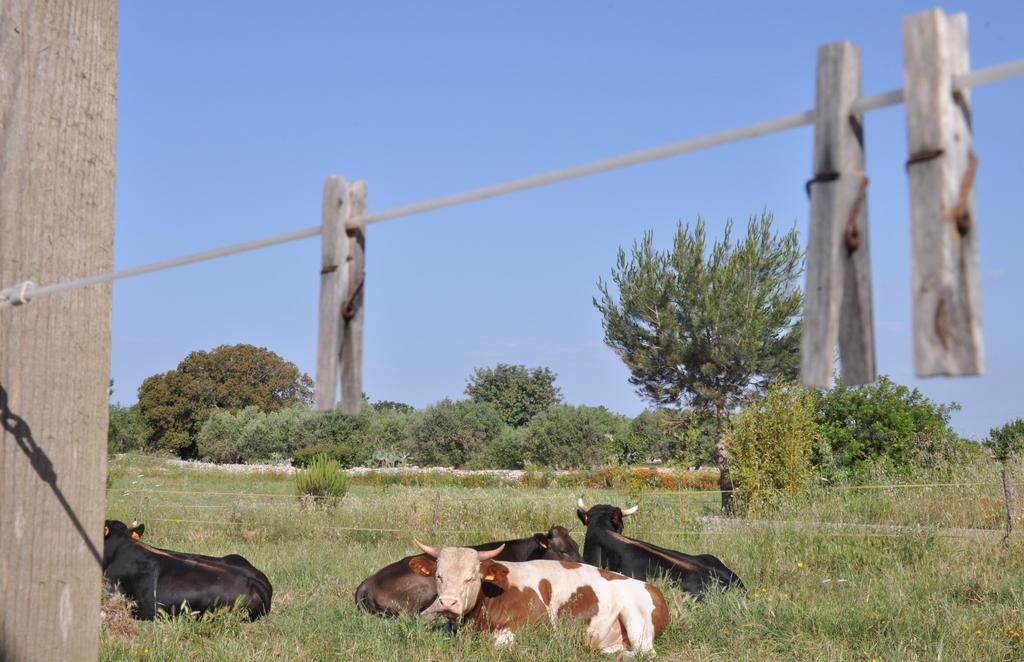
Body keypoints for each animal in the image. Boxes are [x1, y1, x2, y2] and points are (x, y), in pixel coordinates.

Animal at [407, 541, 671, 655]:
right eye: (439, 576)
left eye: (471, 578)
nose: (448, 602)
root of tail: (652, 587)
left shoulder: (534, 625)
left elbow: (497, 644)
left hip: (636, 620)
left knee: (645, 653)